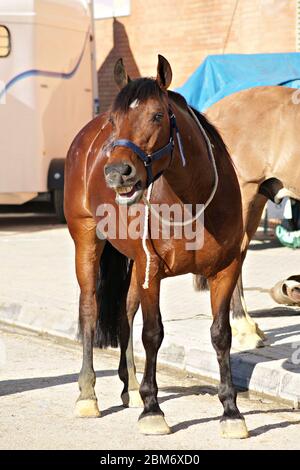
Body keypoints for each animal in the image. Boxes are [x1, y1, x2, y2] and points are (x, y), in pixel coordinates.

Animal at [65, 57, 248, 438]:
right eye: (114, 119)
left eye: (157, 116)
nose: (117, 172)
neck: (192, 202)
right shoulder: (153, 272)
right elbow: (152, 334)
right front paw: (153, 410)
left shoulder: (224, 271)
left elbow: (221, 335)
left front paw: (231, 410)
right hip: (87, 241)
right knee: (89, 309)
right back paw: (88, 394)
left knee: (124, 313)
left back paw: (131, 386)